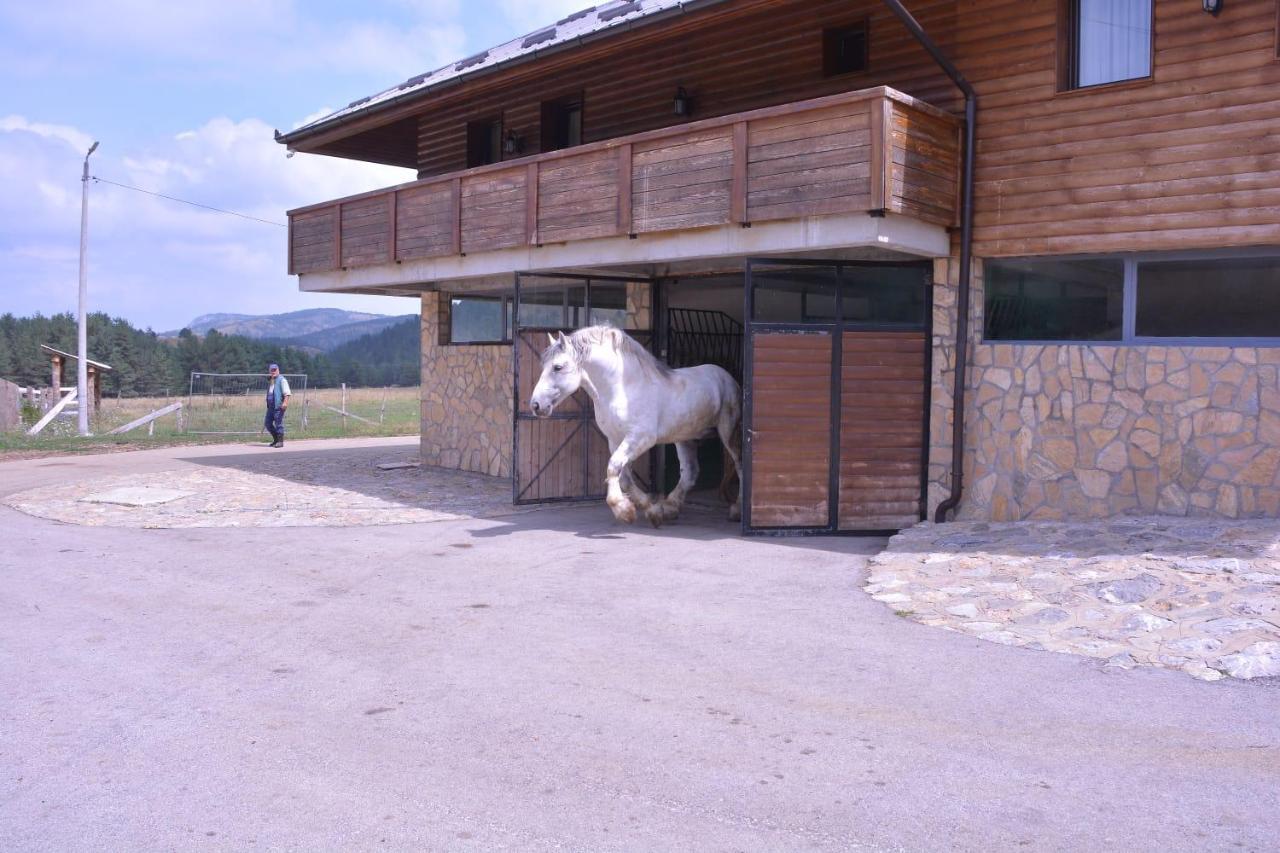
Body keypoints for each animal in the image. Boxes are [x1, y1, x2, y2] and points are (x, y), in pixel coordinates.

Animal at [529, 324, 747, 525]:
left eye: (557, 367)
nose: (536, 405)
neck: (623, 388)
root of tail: (728, 378)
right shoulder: (615, 440)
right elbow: (624, 478)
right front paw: (651, 510)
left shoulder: (641, 438)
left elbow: (613, 467)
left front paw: (623, 510)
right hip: (684, 438)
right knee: (690, 472)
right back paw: (670, 508)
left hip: (728, 432)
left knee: (739, 464)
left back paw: (737, 510)